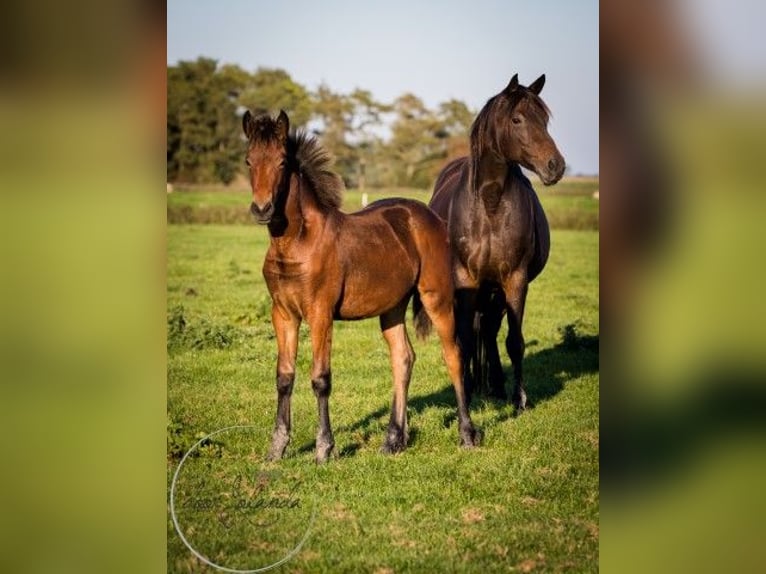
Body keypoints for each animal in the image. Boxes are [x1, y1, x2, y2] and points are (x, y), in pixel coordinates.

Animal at [243, 110, 476, 466]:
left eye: (282, 161)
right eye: (248, 161)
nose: (262, 209)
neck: (295, 242)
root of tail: (431, 216)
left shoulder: (320, 313)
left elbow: (320, 378)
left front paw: (324, 449)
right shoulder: (282, 313)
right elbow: (284, 377)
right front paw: (276, 449)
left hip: (436, 297)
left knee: (453, 355)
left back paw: (467, 435)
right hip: (392, 307)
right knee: (403, 358)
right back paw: (394, 441)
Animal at [428, 75, 568, 410]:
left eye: (544, 120)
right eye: (517, 119)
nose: (556, 166)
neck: (489, 204)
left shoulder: (515, 279)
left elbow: (514, 342)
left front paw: (519, 399)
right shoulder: (465, 279)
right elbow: (465, 340)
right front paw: (465, 391)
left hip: (495, 289)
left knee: (491, 331)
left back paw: (496, 386)